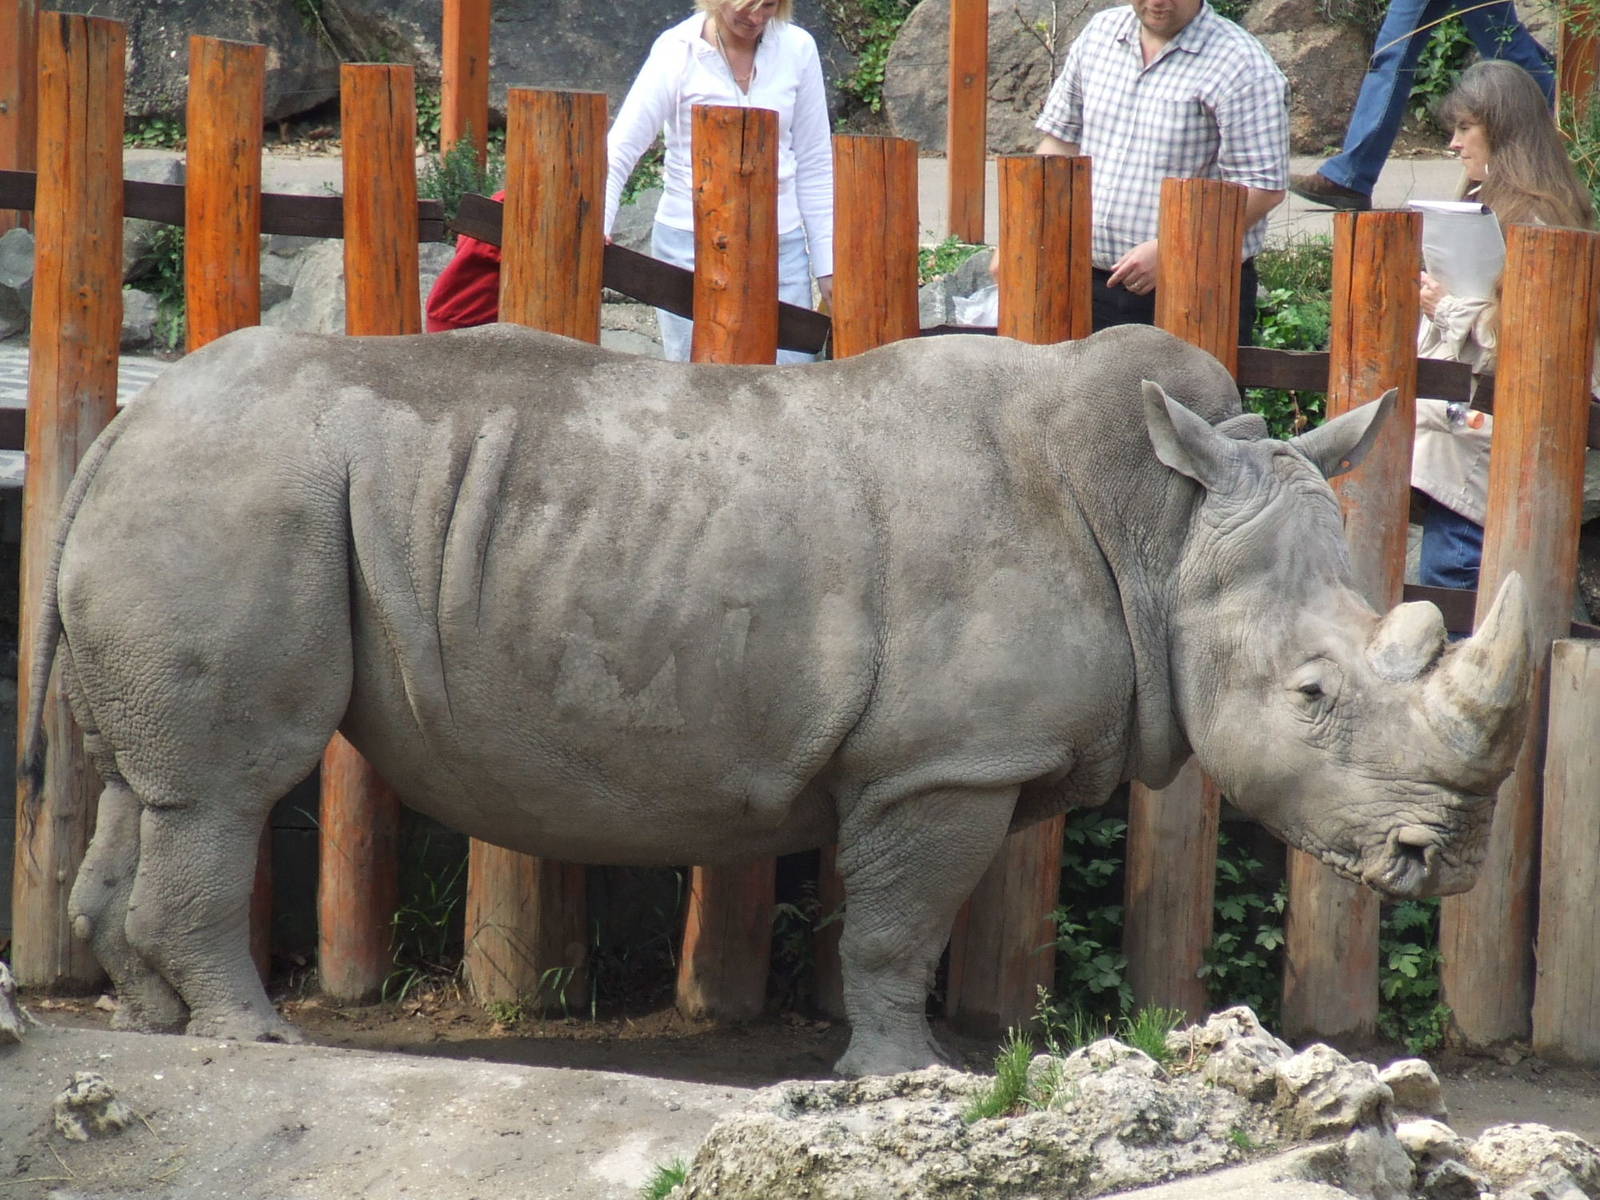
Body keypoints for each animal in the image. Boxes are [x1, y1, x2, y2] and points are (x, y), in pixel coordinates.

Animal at [20, 322, 1529, 1077]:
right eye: (1314, 692)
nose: (1448, 863)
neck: (1163, 529)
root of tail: (117, 428)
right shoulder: (945, 762)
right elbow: (902, 926)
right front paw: (910, 1078)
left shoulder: (940, 759)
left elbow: (895, 920)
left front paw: (907, 1062)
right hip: (240, 494)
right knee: (229, 785)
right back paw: (253, 1040)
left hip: (201, 495)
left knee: (143, 779)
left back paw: (154, 1025)